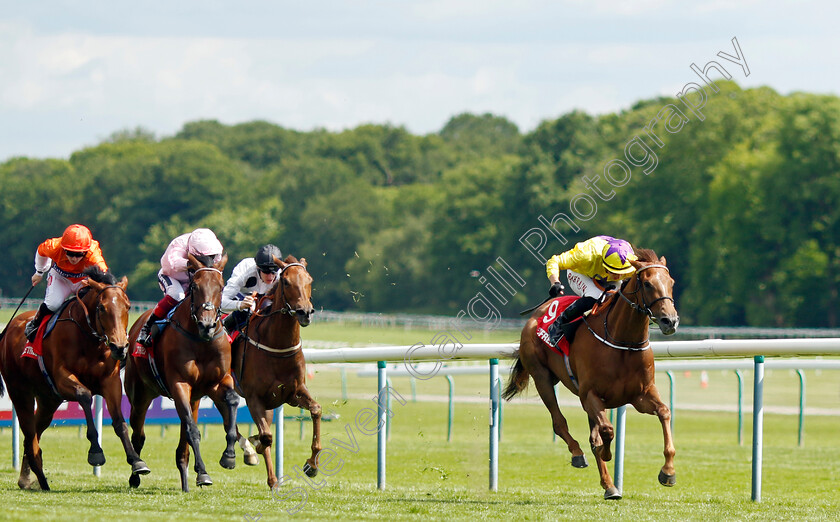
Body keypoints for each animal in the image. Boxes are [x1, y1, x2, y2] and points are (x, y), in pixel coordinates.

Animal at [0, 266, 148, 490]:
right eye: (102, 308)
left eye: (128, 307)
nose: (120, 347)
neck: (89, 340)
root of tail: (8, 329)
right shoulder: (62, 378)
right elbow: (84, 395)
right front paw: (96, 451)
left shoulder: (111, 382)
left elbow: (120, 423)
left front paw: (136, 461)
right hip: (20, 392)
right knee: (30, 437)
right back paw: (41, 480)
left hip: (48, 400)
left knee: (33, 435)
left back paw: (27, 478)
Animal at [123, 254, 240, 490]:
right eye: (195, 286)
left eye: (221, 286)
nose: (207, 325)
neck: (201, 340)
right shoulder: (179, 384)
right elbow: (192, 430)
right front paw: (204, 471)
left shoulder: (217, 381)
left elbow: (232, 401)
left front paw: (229, 456)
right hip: (139, 394)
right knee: (139, 434)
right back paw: (137, 471)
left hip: (193, 397)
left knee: (182, 442)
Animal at [225, 255, 320, 488]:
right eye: (286, 281)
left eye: (309, 279)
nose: (305, 312)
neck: (277, 343)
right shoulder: (253, 397)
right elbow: (267, 436)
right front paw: (271, 476)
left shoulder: (294, 393)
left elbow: (316, 410)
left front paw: (312, 464)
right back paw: (249, 450)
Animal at [502, 249, 680, 500]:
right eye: (647, 283)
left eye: (671, 282)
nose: (670, 321)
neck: (622, 341)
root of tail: (536, 314)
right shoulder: (591, 395)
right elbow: (607, 431)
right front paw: (606, 452)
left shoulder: (641, 395)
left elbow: (664, 412)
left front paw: (668, 471)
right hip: (542, 377)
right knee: (559, 422)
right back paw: (578, 454)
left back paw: (610, 486)